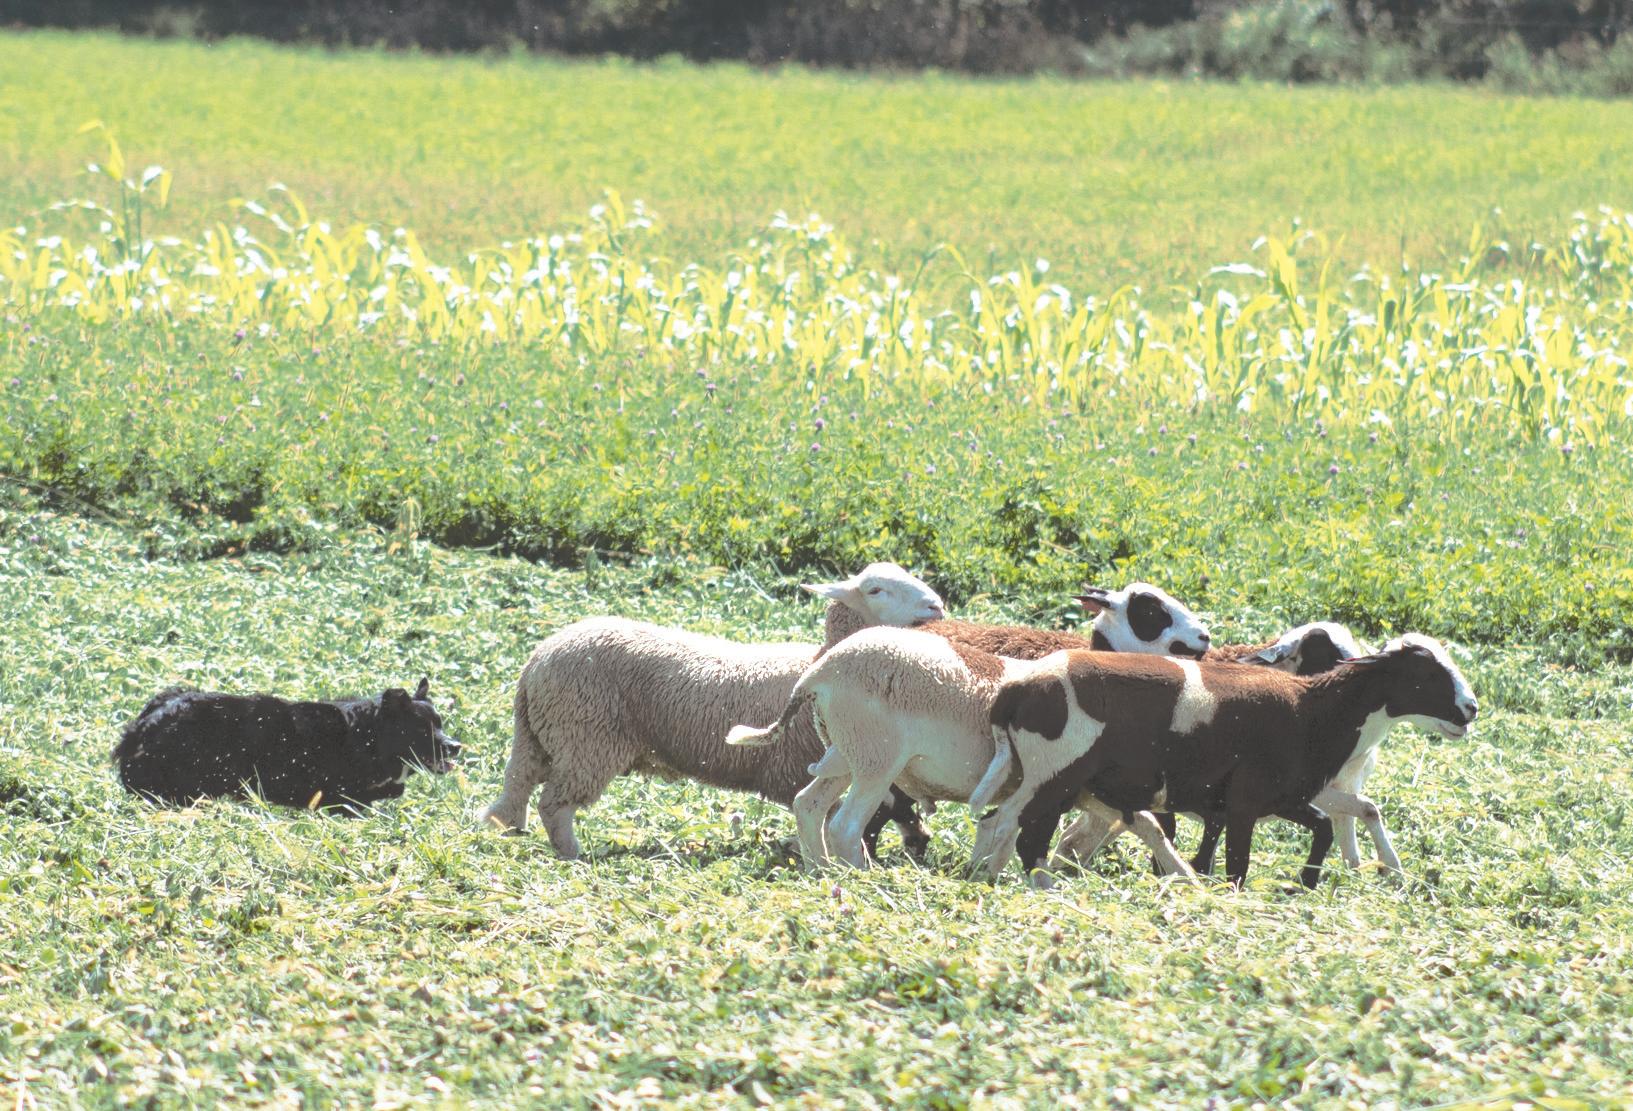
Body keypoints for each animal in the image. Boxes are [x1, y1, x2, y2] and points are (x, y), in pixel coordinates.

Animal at [476, 562, 947, 860]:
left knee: (519, 787)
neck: (820, 659)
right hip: (585, 738)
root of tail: (536, 661)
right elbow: (829, 819)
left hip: (543, 736)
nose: (936, 606)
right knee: (554, 805)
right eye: (875, 589)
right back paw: (574, 855)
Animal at [975, 634, 1478, 888]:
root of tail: (1015, 692)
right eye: (1426, 672)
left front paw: (1309, 881)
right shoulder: (1245, 801)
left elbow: (1327, 825)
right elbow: (1238, 865)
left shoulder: (1281, 797)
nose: (1471, 709)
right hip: (1054, 770)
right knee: (1015, 827)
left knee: (1006, 824)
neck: (1315, 712)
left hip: (1050, 777)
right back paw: (1024, 885)